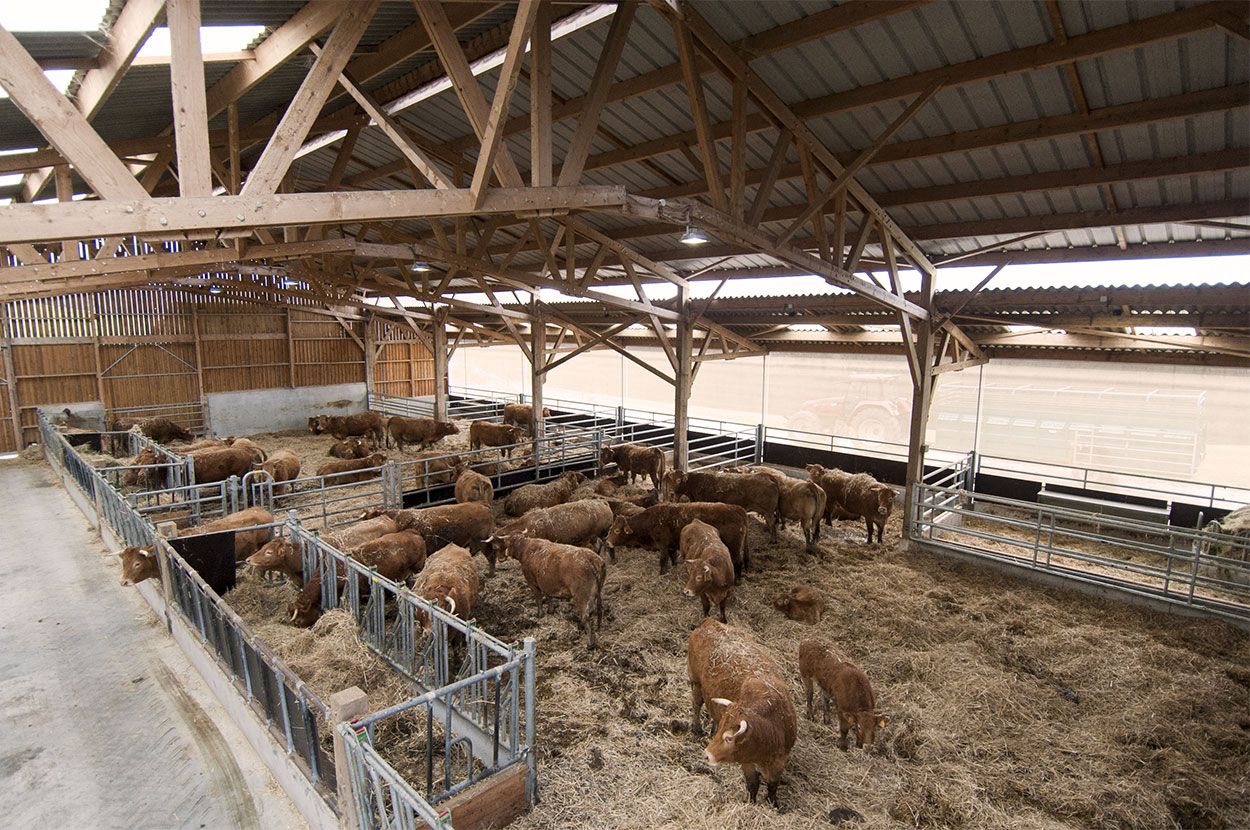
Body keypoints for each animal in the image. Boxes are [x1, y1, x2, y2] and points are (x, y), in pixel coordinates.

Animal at [607, 502, 749, 576]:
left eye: (617, 530)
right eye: (611, 528)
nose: (607, 542)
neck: (651, 521)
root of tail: (738, 509)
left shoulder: (663, 545)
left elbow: (663, 560)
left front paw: (662, 573)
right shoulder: (671, 546)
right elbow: (673, 556)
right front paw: (674, 567)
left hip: (734, 548)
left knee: (738, 562)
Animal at [688, 619, 797, 808]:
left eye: (728, 738)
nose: (706, 755)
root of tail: (709, 622)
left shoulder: (781, 760)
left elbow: (773, 785)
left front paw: (773, 803)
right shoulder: (746, 760)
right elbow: (753, 783)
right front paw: (751, 803)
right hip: (695, 681)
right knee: (696, 704)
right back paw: (696, 728)